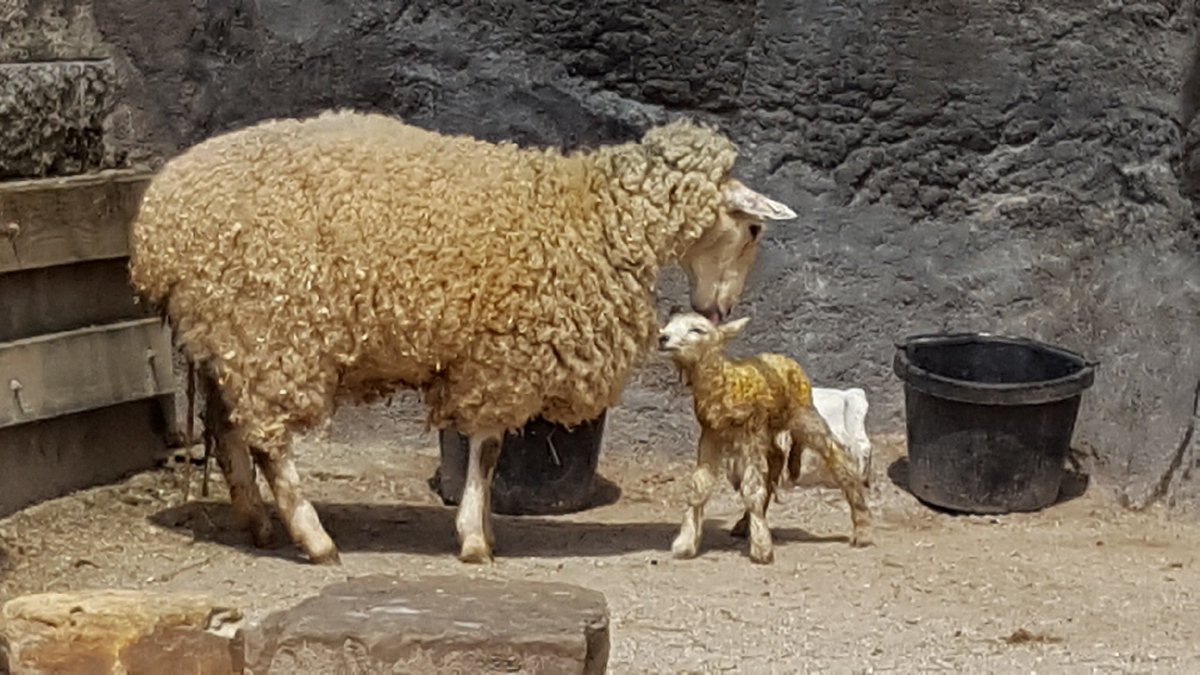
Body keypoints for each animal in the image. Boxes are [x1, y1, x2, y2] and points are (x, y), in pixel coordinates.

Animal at [128, 108, 798, 565]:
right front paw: (475, 538)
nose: (720, 308)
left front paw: (484, 530)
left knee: (226, 428)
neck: (595, 217)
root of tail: (158, 224)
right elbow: (488, 450)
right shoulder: (499, 361)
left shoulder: (491, 359)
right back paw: (313, 538)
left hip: (227, 332)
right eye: (754, 229)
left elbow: (491, 452)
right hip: (272, 331)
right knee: (270, 442)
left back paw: (256, 523)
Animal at [656, 311, 871, 564]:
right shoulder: (711, 433)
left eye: (697, 330)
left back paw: (862, 529)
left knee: (837, 456)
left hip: (803, 413)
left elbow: (751, 489)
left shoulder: (750, 432)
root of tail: (783, 358)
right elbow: (699, 486)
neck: (725, 384)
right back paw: (745, 523)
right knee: (775, 463)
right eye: (669, 325)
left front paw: (761, 549)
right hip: (768, 431)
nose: (663, 338)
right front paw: (686, 543)